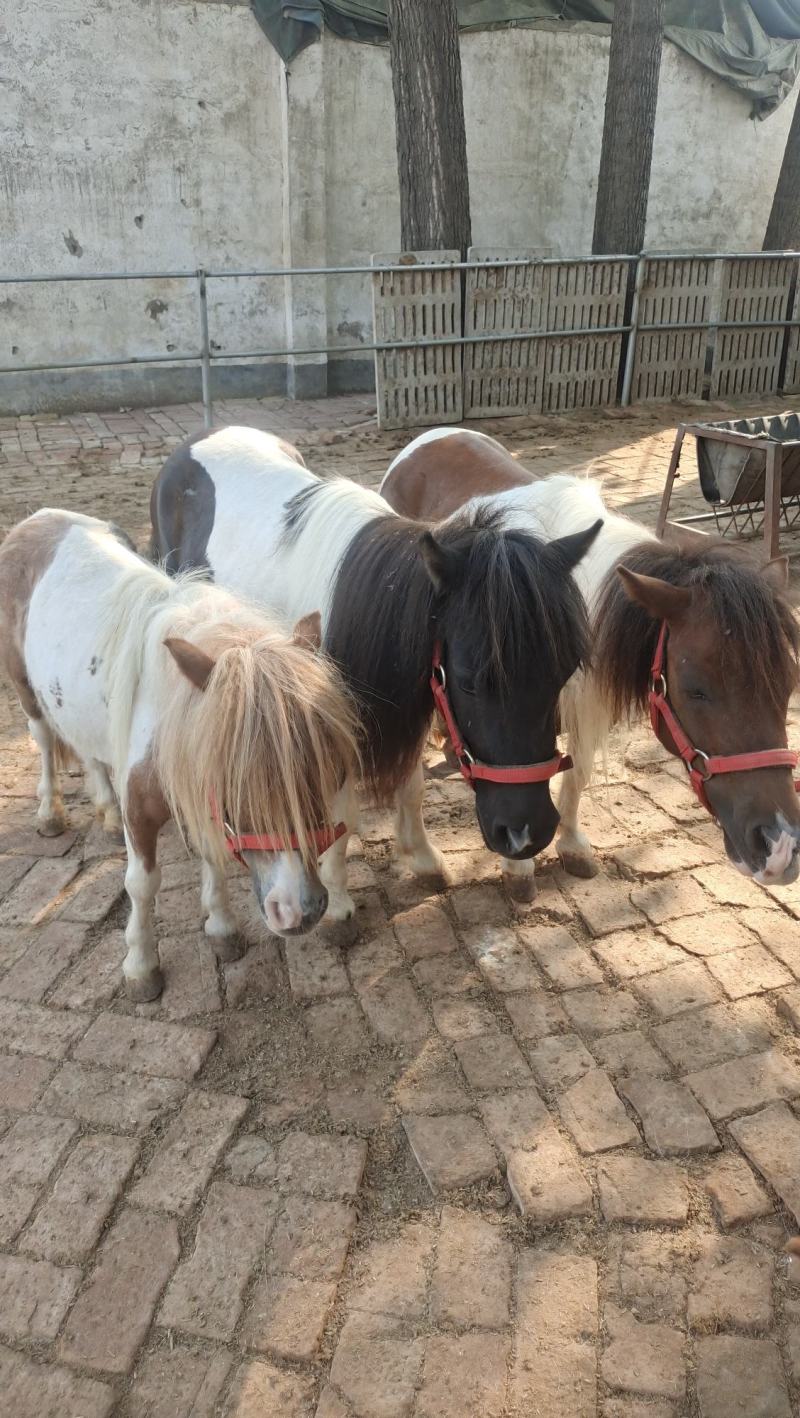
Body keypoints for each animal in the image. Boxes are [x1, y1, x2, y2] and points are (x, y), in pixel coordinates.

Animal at [0, 509, 360, 1001]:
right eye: (234, 781)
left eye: (321, 769)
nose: (299, 910)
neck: (169, 710)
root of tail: (38, 519)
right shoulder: (142, 809)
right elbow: (141, 884)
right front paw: (140, 965)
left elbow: (212, 856)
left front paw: (222, 928)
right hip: (27, 694)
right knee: (44, 743)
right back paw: (50, 814)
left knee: (92, 755)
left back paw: (105, 814)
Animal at [150, 426, 602, 908]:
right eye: (468, 681)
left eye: (564, 671)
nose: (527, 834)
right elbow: (339, 813)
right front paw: (336, 898)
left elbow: (411, 789)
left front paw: (423, 859)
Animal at [381, 428, 800, 887]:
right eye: (696, 691)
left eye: (788, 687)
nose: (780, 847)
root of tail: (429, 438)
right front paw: (518, 865)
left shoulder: (589, 709)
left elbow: (575, 775)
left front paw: (571, 845)